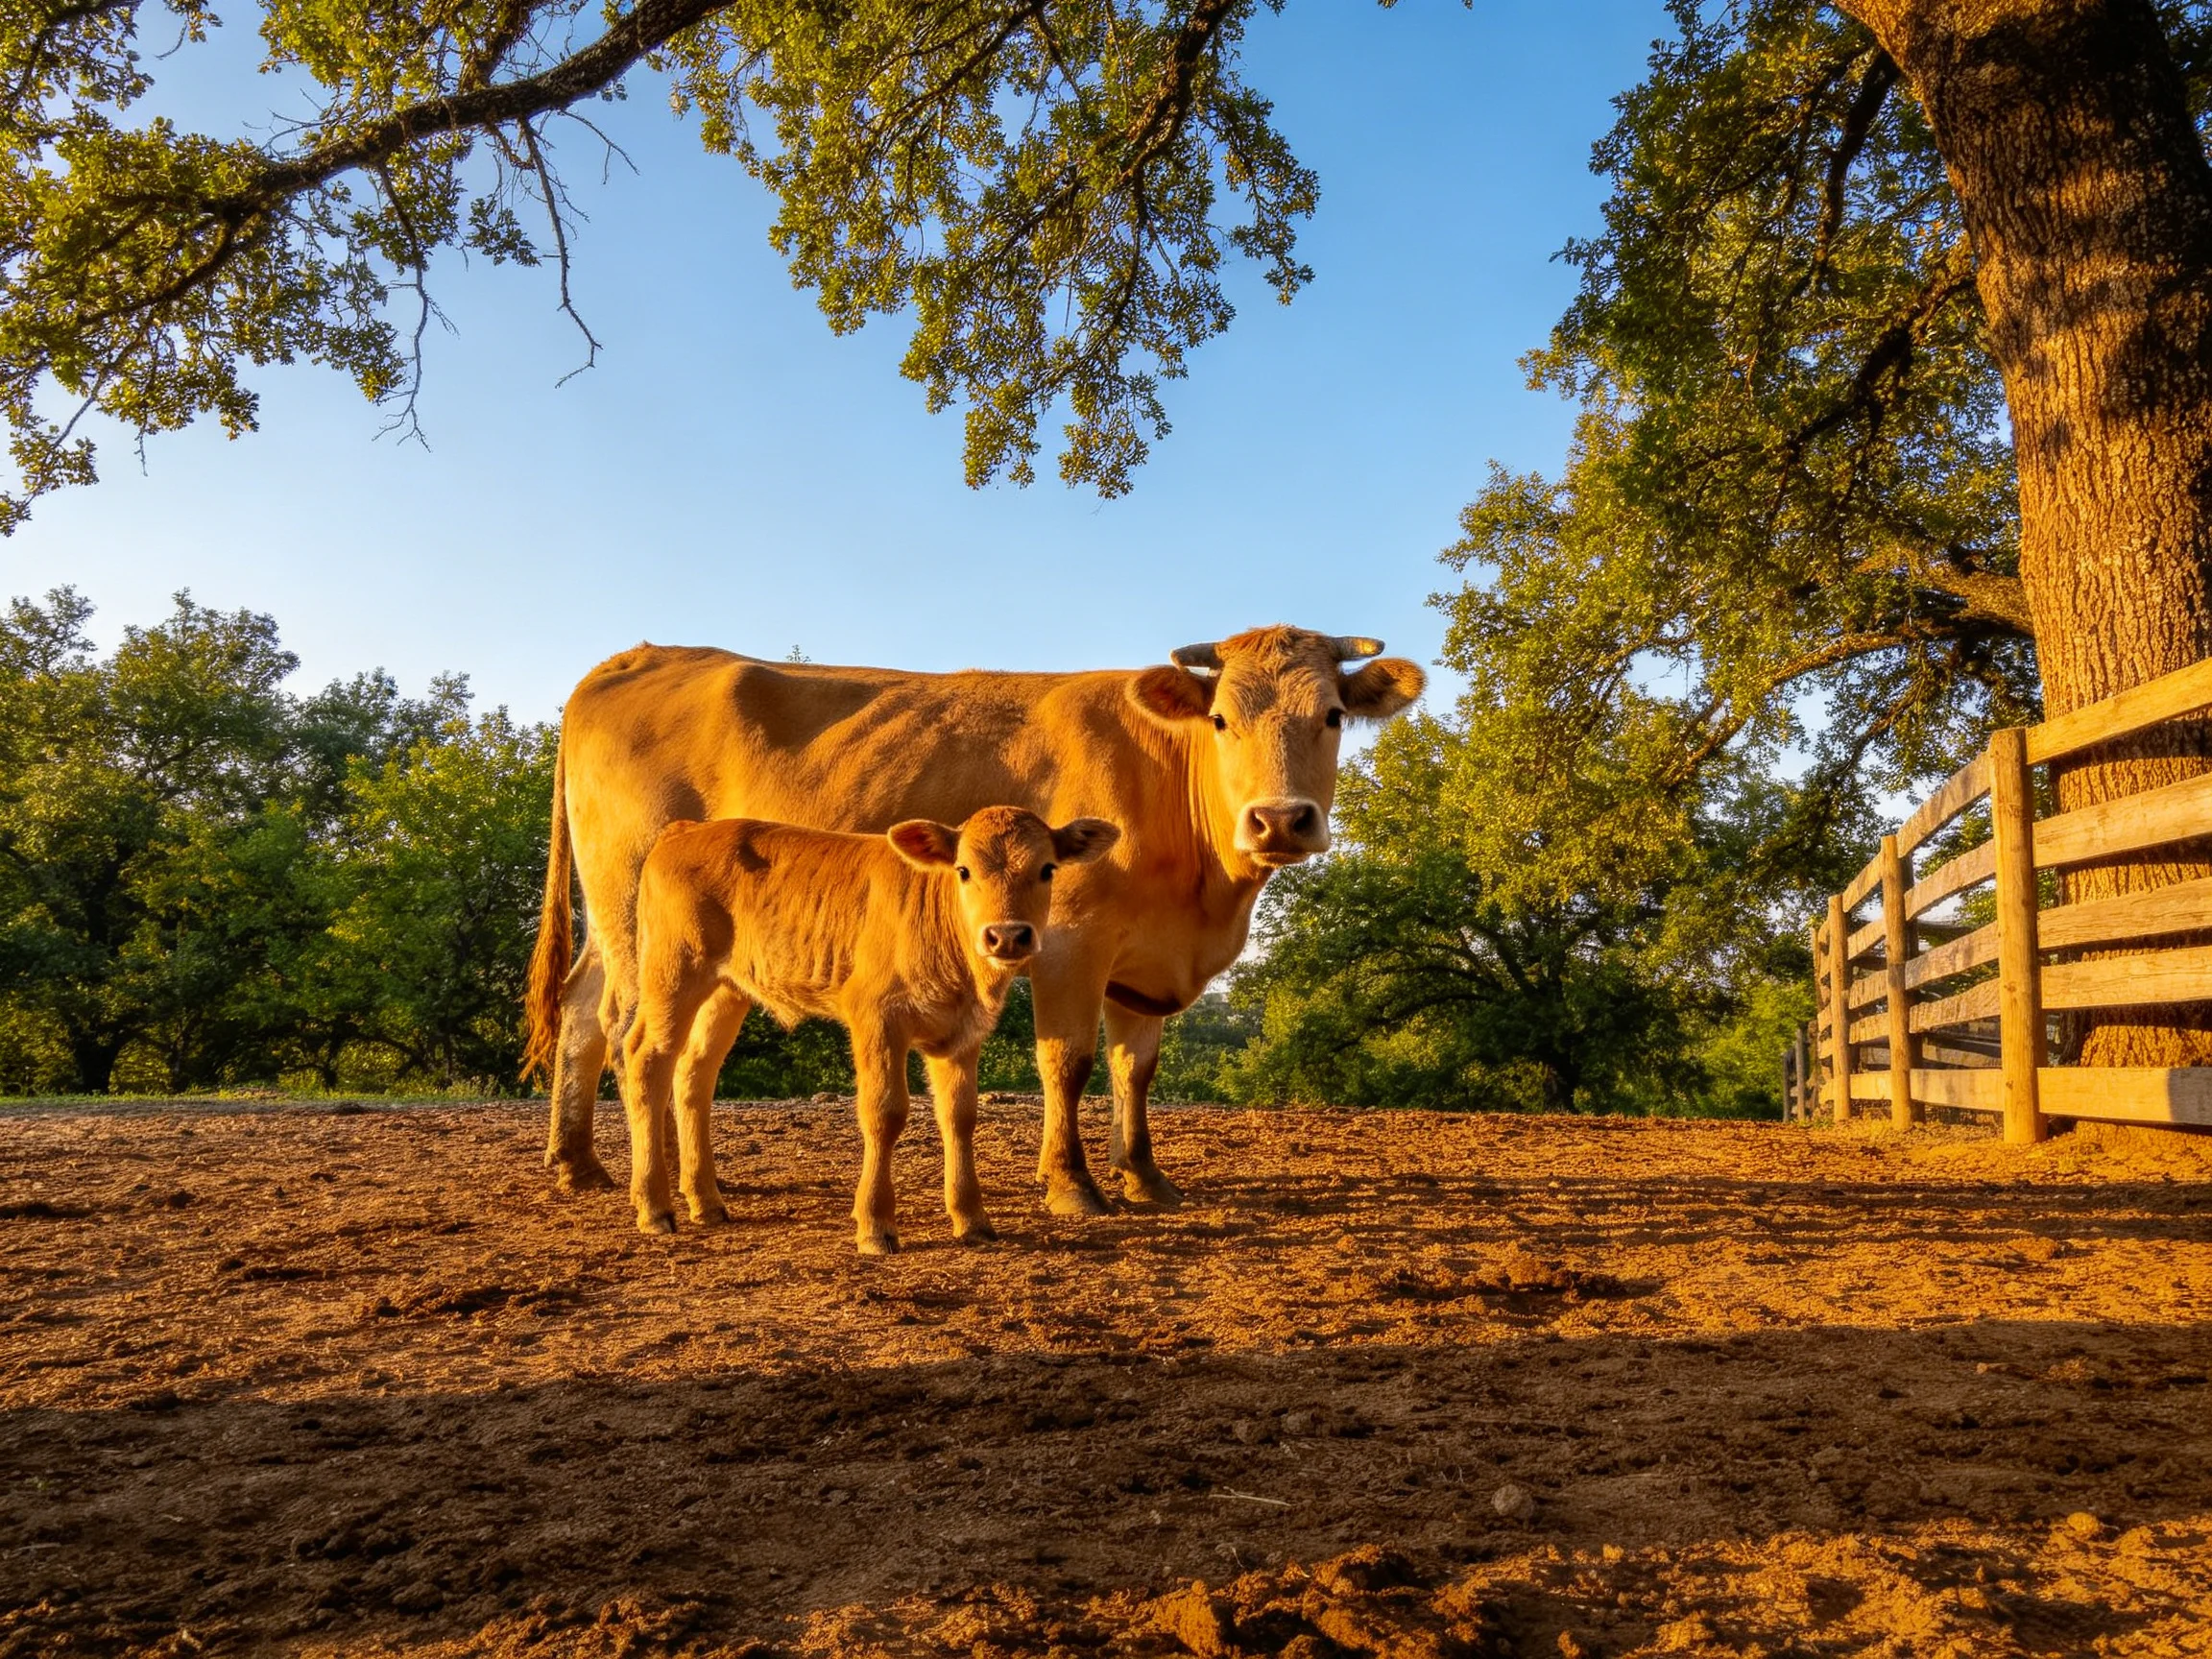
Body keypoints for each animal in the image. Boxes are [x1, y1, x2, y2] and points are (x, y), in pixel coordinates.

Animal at [621, 807, 1120, 1247]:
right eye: (963, 870)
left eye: (1047, 869)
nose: (1008, 935)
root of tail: (685, 830)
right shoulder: (876, 1018)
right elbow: (884, 1112)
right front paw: (876, 1225)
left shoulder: (963, 1034)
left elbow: (960, 1117)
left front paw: (972, 1219)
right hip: (673, 971)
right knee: (647, 1060)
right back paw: (654, 1207)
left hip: (727, 990)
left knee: (695, 1071)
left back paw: (706, 1201)